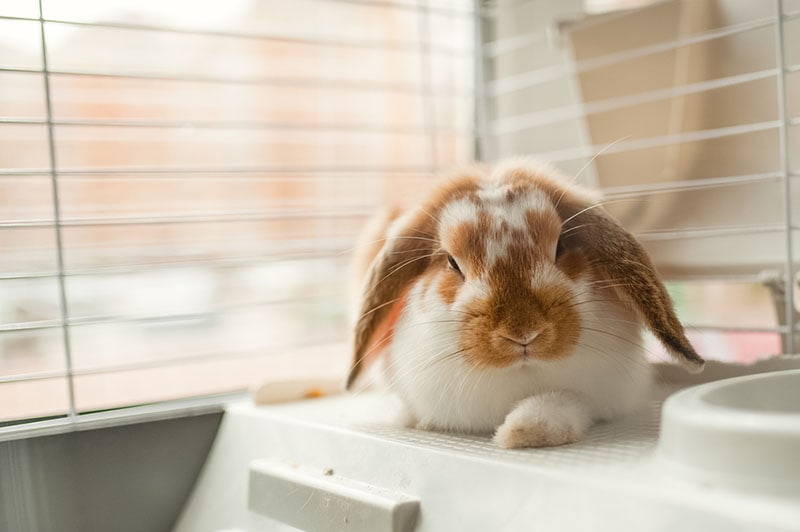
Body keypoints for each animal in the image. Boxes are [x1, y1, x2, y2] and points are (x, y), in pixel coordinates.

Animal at [346, 160, 704, 448]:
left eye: (561, 247)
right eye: (451, 262)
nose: (523, 333)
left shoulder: (595, 393)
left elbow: (562, 402)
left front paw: (520, 433)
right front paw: (410, 418)